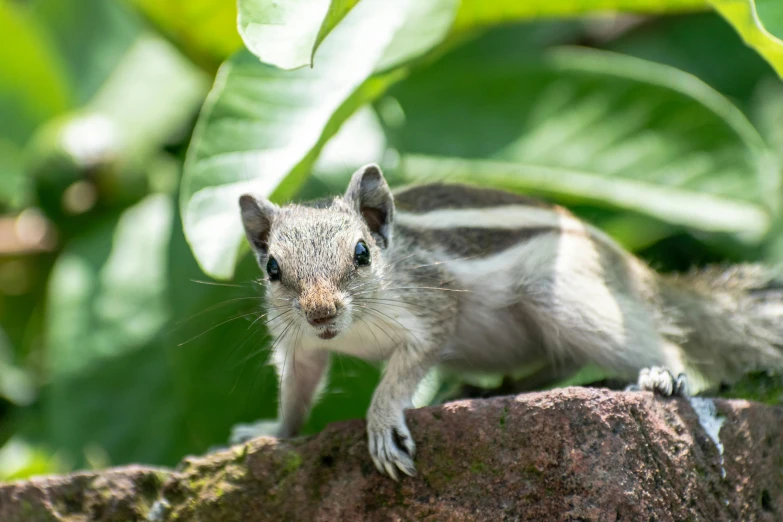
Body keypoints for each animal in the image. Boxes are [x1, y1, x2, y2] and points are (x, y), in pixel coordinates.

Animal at [236, 164, 783, 480]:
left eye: (362, 253)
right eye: (273, 268)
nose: (321, 312)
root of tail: (635, 273)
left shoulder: (431, 312)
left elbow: (401, 374)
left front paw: (383, 419)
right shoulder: (299, 345)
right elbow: (298, 390)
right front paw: (271, 431)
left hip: (570, 297)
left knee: (651, 345)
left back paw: (659, 375)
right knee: (563, 364)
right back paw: (488, 390)